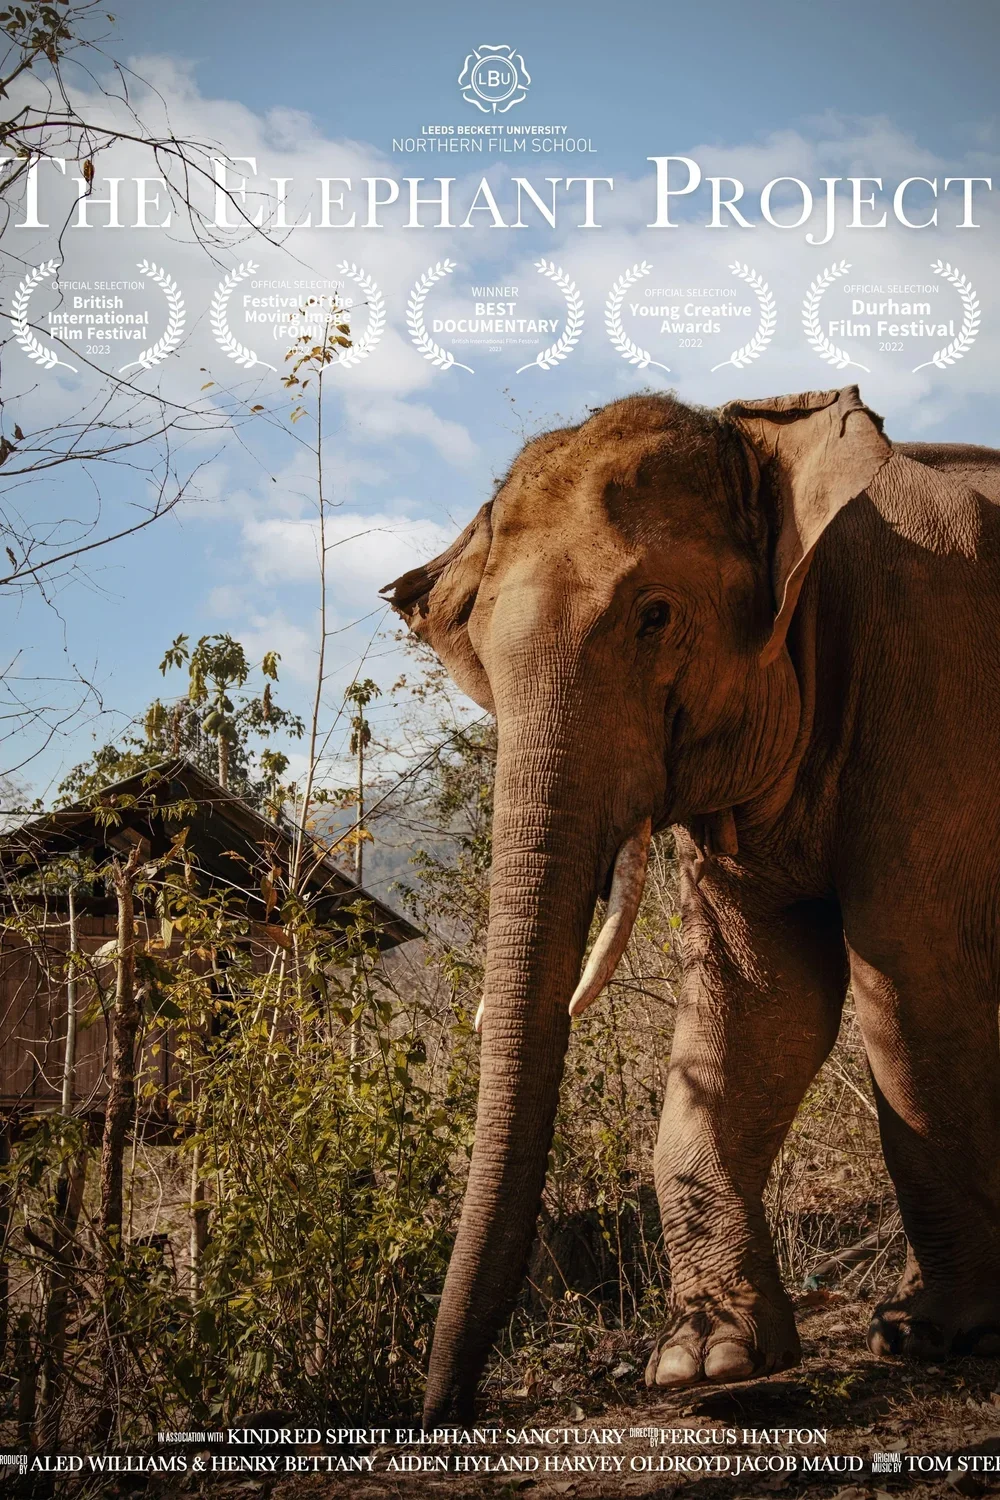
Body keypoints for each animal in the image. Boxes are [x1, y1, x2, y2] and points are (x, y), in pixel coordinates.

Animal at [382, 384, 1000, 1426]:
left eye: (655, 616)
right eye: (483, 659)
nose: (442, 1417)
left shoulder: (938, 689)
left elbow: (914, 984)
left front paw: (934, 1332)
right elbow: (760, 1001)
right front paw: (704, 1363)